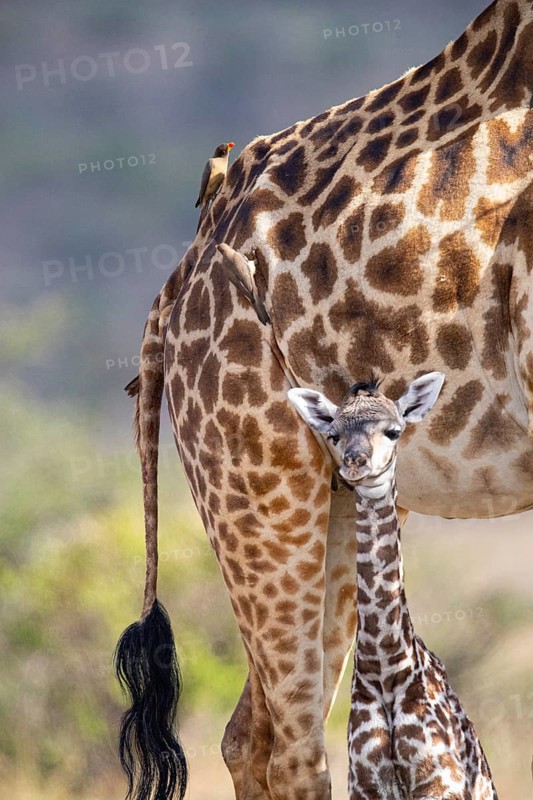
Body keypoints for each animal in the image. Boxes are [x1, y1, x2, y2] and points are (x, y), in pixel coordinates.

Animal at [288, 375, 498, 799]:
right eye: (333, 434)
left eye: (393, 430)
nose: (356, 461)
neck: (385, 667)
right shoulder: (365, 784)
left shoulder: (440, 783)